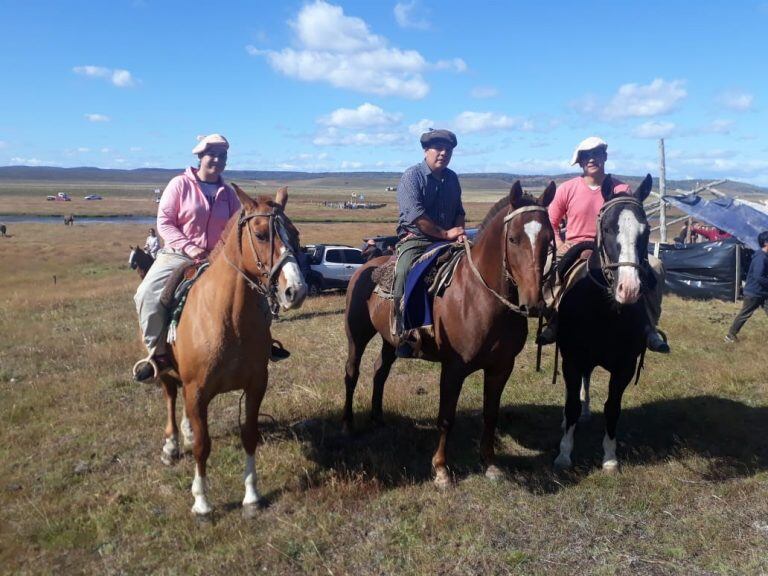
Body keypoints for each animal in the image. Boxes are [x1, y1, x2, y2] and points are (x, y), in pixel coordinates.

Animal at [157, 186, 306, 516]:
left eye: (295, 233)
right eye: (261, 234)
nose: (296, 290)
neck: (227, 318)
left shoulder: (255, 385)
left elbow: (249, 436)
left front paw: (251, 496)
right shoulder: (197, 390)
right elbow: (203, 445)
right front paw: (201, 502)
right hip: (167, 373)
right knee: (171, 396)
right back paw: (172, 446)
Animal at [344, 181, 556, 486]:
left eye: (549, 239)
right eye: (514, 239)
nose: (534, 303)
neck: (480, 297)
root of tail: (365, 266)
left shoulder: (501, 368)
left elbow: (490, 414)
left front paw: (490, 463)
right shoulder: (454, 368)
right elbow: (446, 417)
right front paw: (441, 469)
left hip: (390, 340)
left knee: (379, 370)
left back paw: (377, 417)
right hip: (357, 335)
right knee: (352, 372)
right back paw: (349, 424)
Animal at [552, 173, 656, 470]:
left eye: (646, 231)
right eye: (608, 228)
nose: (629, 289)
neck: (604, 313)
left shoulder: (624, 366)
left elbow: (612, 408)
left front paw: (610, 457)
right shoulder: (572, 359)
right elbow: (571, 405)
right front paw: (564, 454)